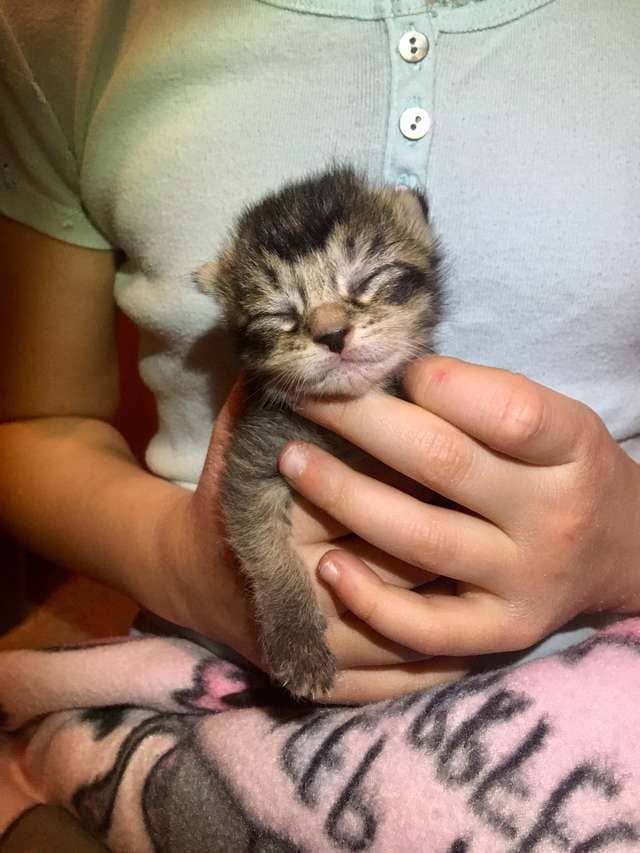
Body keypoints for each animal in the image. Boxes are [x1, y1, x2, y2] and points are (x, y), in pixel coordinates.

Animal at [198, 166, 442, 700]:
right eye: (281, 314)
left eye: (366, 280)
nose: (332, 334)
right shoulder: (252, 461)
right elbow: (266, 552)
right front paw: (298, 644)